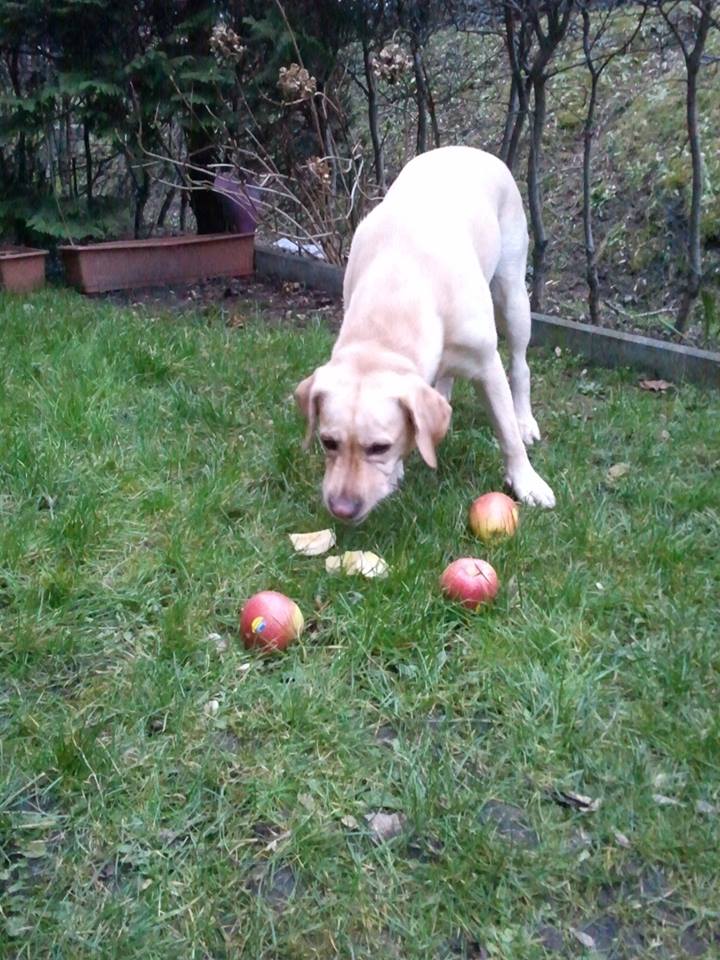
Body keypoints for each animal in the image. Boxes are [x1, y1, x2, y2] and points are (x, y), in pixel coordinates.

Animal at [296, 146, 556, 524]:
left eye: (379, 447)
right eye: (328, 442)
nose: (342, 509)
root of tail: (470, 149)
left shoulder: (487, 366)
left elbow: (506, 433)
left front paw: (526, 481)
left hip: (513, 297)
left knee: (520, 366)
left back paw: (525, 420)